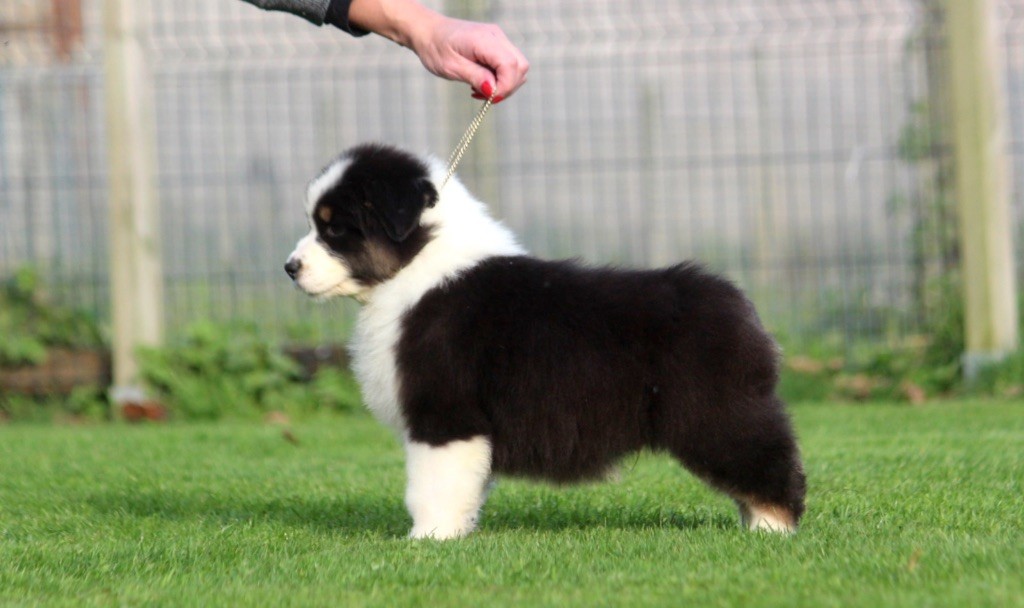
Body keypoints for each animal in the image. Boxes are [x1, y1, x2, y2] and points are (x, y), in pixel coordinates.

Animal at [285, 143, 806, 539]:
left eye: (336, 228)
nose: (290, 268)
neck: (418, 262)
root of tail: (738, 303)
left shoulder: (444, 414)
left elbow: (432, 486)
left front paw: (426, 540)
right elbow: (466, 484)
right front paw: (457, 532)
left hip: (717, 412)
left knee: (769, 463)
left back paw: (771, 529)